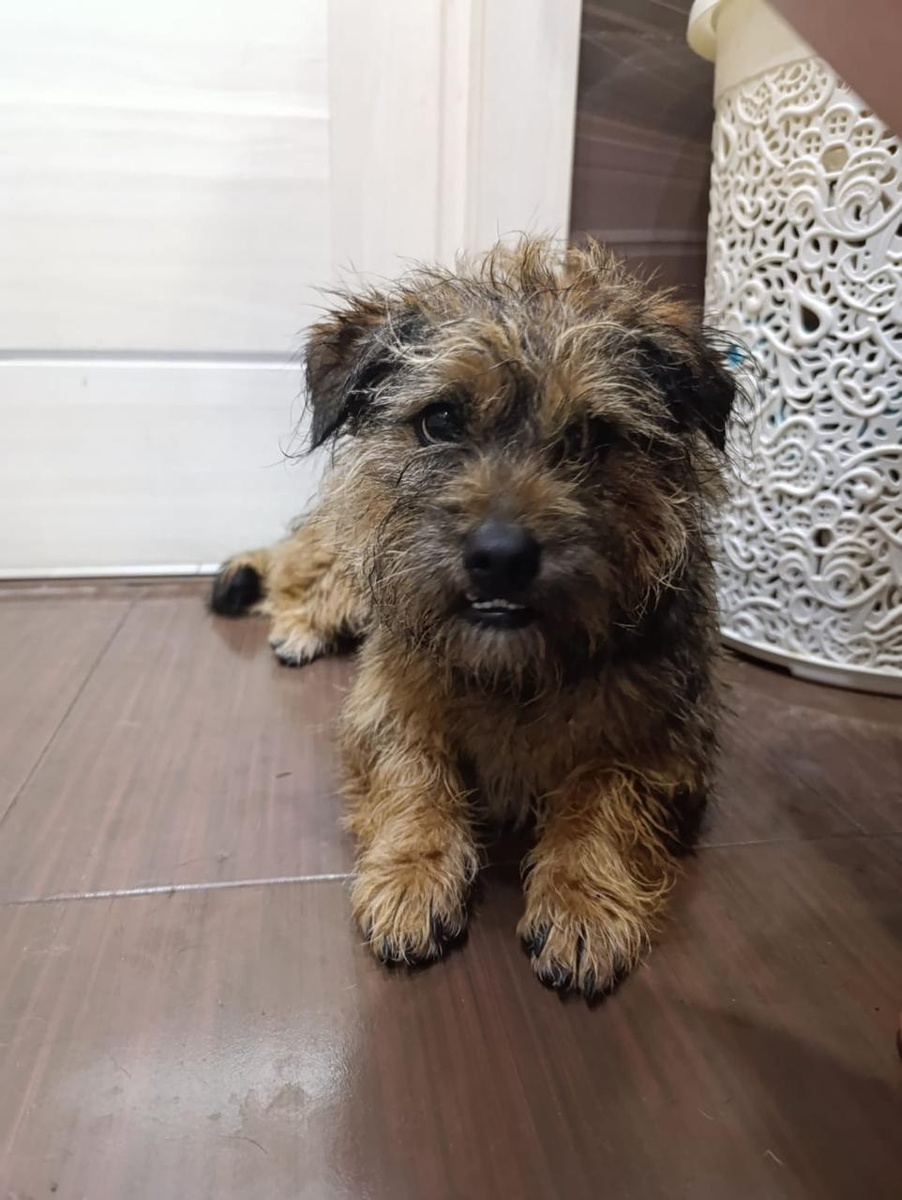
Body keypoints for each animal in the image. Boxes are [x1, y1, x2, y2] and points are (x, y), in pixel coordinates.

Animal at [211, 238, 740, 998]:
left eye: (593, 434)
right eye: (441, 420)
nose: (500, 557)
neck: (516, 670)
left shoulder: (666, 745)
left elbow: (604, 793)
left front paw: (582, 900)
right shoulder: (386, 704)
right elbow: (415, 774)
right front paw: (412, 875)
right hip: (346, 566)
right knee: (291, 577)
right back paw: (294, 625)